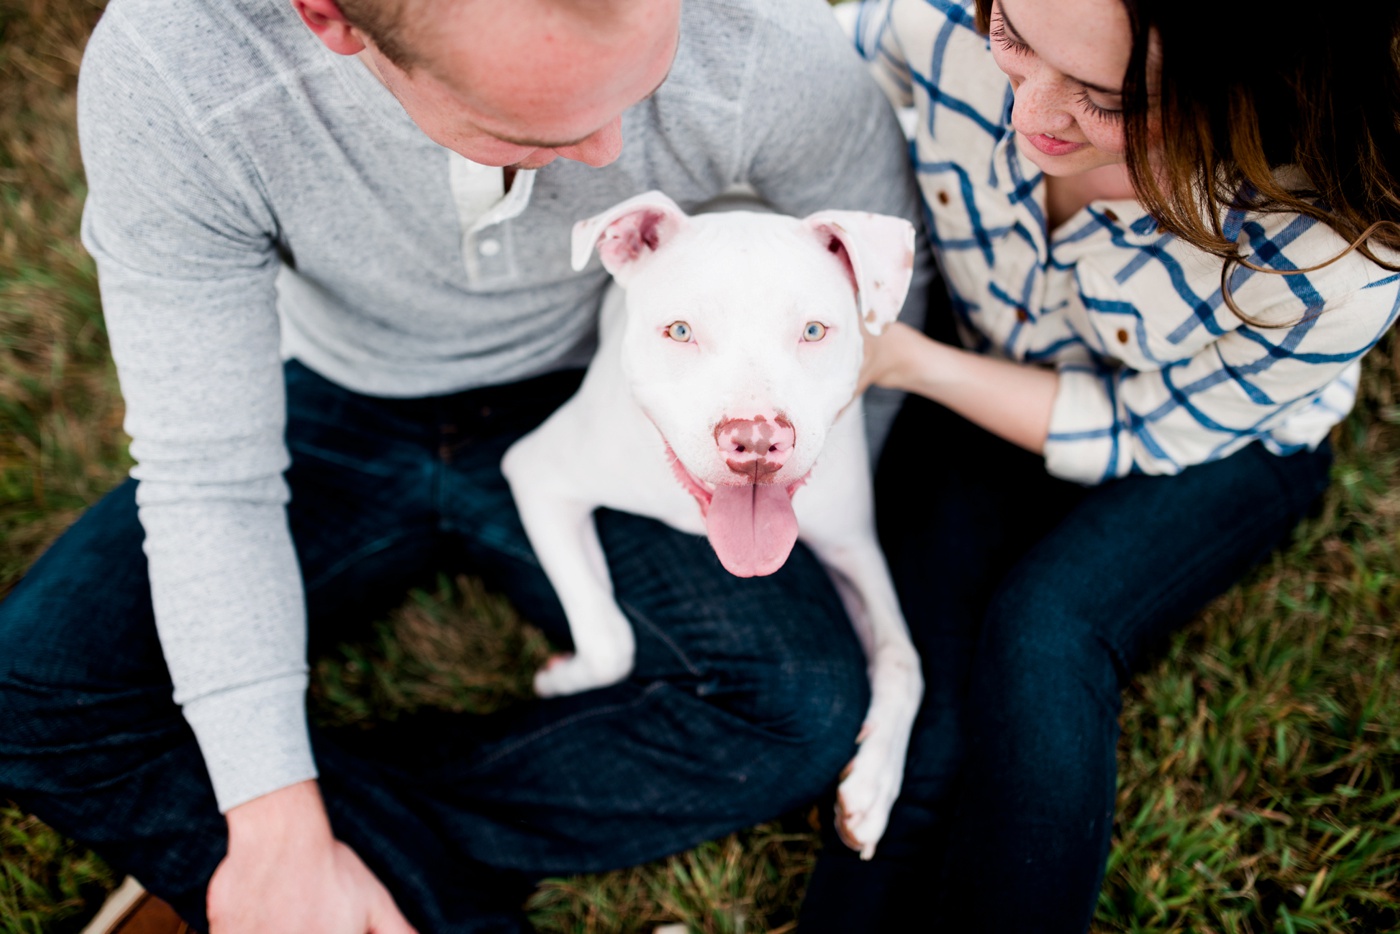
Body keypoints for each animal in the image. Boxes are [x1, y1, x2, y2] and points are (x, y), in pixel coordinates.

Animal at [501, 193, 918, 856]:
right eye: (680, 331)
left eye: (813, 331)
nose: (756, 440)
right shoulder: (539, 474)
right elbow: (611, 639)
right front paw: (560, 682)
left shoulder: (853, 547)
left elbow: (905, 659)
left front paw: (875, 783)